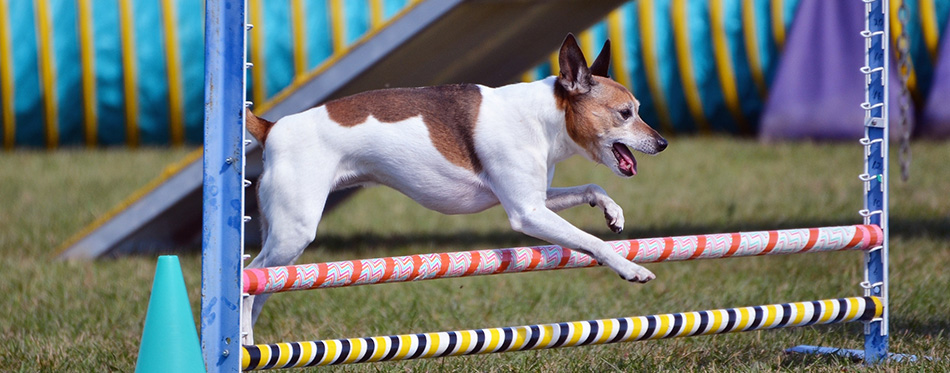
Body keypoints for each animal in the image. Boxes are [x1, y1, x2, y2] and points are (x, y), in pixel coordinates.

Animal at [242, 35, 664, 342]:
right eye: (625, 114)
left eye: (639, 109)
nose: (661, 143)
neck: (545, 117)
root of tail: (272, 128)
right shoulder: (527, 214)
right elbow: (592, 242)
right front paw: (631, 268)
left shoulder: (536, 201)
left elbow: (593, 187)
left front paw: (612, 212)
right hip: (293, 233)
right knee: (249, 277)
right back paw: (243, 337)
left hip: (286, 246)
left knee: (264, 286)